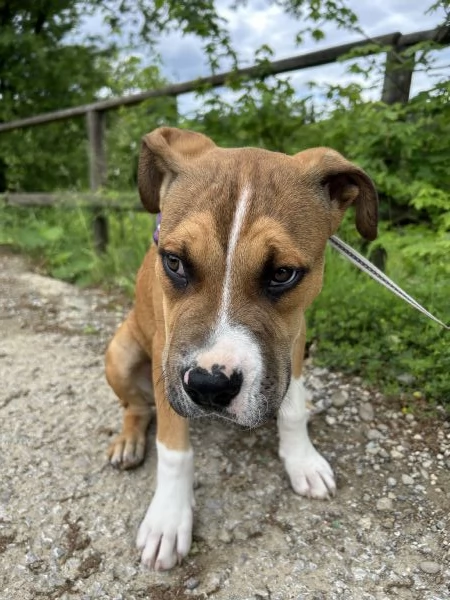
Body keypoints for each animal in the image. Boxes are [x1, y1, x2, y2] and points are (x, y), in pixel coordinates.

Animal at [104, 127, 376, 572]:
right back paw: (129, 440)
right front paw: (168, 519)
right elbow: (173, 448)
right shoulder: (166, 349)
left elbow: (292, 407)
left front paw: (301, 459)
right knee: (137, 406)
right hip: (121, 352)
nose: (209, 386)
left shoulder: (293, 339)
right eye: (174, 262)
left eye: (282, 273)